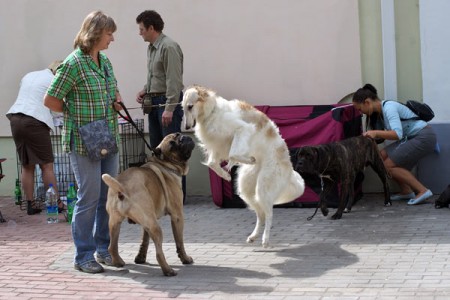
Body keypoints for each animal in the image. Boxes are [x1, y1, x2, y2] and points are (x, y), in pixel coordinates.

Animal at [103, 134, 194, 276]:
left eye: (178, 134)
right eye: (172, 145)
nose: (184, 137)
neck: (165, 164)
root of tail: (122, 187)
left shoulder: (146, 224)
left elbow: (144, 240)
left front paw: (140, 258)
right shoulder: (177, 216)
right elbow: (179, 241)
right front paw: (185, 259)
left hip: (116, 223)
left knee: (112, 246)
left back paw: (118, 262)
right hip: (155, 227)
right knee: (159, 253)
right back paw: (168, 270)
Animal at [180, 84, 306, 246]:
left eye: (190, 106)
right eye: (183, 107)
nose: (186, 126)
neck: (213, 111)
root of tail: (289, 169)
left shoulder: (242, 129)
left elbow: (232, 154)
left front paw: (244, 161)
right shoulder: (218, 145)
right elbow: (212, 163)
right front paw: (226, 175)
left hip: (263, 187)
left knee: (269, 214)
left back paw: (265, 239)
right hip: (246, 187)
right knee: (261, 215)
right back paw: (253, 236)